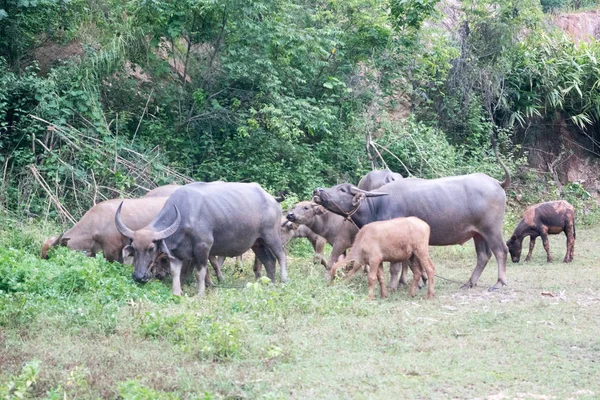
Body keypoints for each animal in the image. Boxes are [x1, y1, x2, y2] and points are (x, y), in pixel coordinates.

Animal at [116, 183, 288, 296]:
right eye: (134, 248)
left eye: (151, 248)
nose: (138, 276)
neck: (185, 215)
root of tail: (273, 200)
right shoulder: (176, 254)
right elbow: (176, 273)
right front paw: (177, 292)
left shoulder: (203, 247)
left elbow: (201, 273)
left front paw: (200, 293)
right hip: (257, 242)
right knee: (269, 260)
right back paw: (269, 283)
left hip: (271, 235)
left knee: (281, 255)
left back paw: (284, 280)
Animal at [314, 168, 510, 290]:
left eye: (342, 189)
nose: (318, 190)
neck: (377, 205)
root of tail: (496, 183)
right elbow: (407, 262)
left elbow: (396, 266)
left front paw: (394, 286)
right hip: (478, 234)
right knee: (483, 256)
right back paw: (469, 282)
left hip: (491, 229)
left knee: (501, 251)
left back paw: (499, 283)